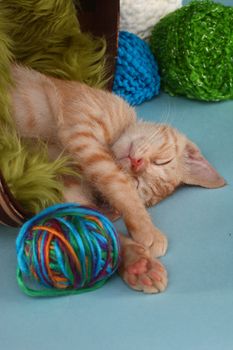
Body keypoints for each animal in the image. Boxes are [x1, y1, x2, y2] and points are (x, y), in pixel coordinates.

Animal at [10, 65, 225, 292]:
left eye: (138, 183)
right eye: (162, 161)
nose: (137, 163)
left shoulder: (59, 184)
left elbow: (91, 223)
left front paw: (138, 264)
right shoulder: (81, 131)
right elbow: (115, 182)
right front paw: (147, 231)